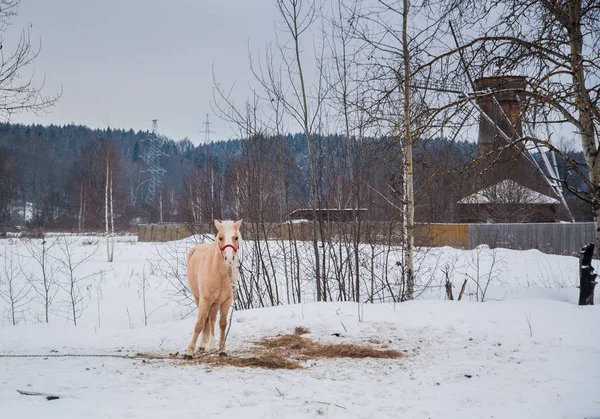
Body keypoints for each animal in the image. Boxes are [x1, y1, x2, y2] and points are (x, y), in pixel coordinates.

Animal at [183, 218, 241, 360]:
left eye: (236, 237)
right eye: (220, 237)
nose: (229, 259)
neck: (218, 272)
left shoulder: (226, 301)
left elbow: (222, 324)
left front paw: (222, 350)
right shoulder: (205, 300)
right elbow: (199, 324)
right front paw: (189, 352)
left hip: (215, 303)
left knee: (211, 320)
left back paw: (210, 346)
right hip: (199, 298)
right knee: (207, 320)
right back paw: (203, 346)